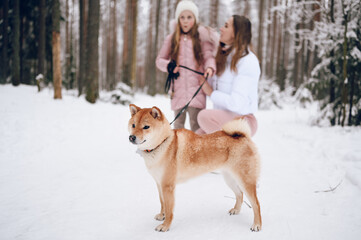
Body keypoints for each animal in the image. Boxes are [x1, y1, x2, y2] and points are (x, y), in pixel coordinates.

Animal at [128, 104, 260, 232]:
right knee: (240, 194)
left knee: (256, 204)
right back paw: (236, 210)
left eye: (146, 127)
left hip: (245, 181)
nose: (131, 137)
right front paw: (162, 215)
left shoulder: (168, 186)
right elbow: (162, 203)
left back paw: (257, 225)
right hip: (229, 179)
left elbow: (169, 209)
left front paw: (165, 226)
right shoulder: (159, 183)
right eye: (133, 125)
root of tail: (242, 136)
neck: (162, 143)